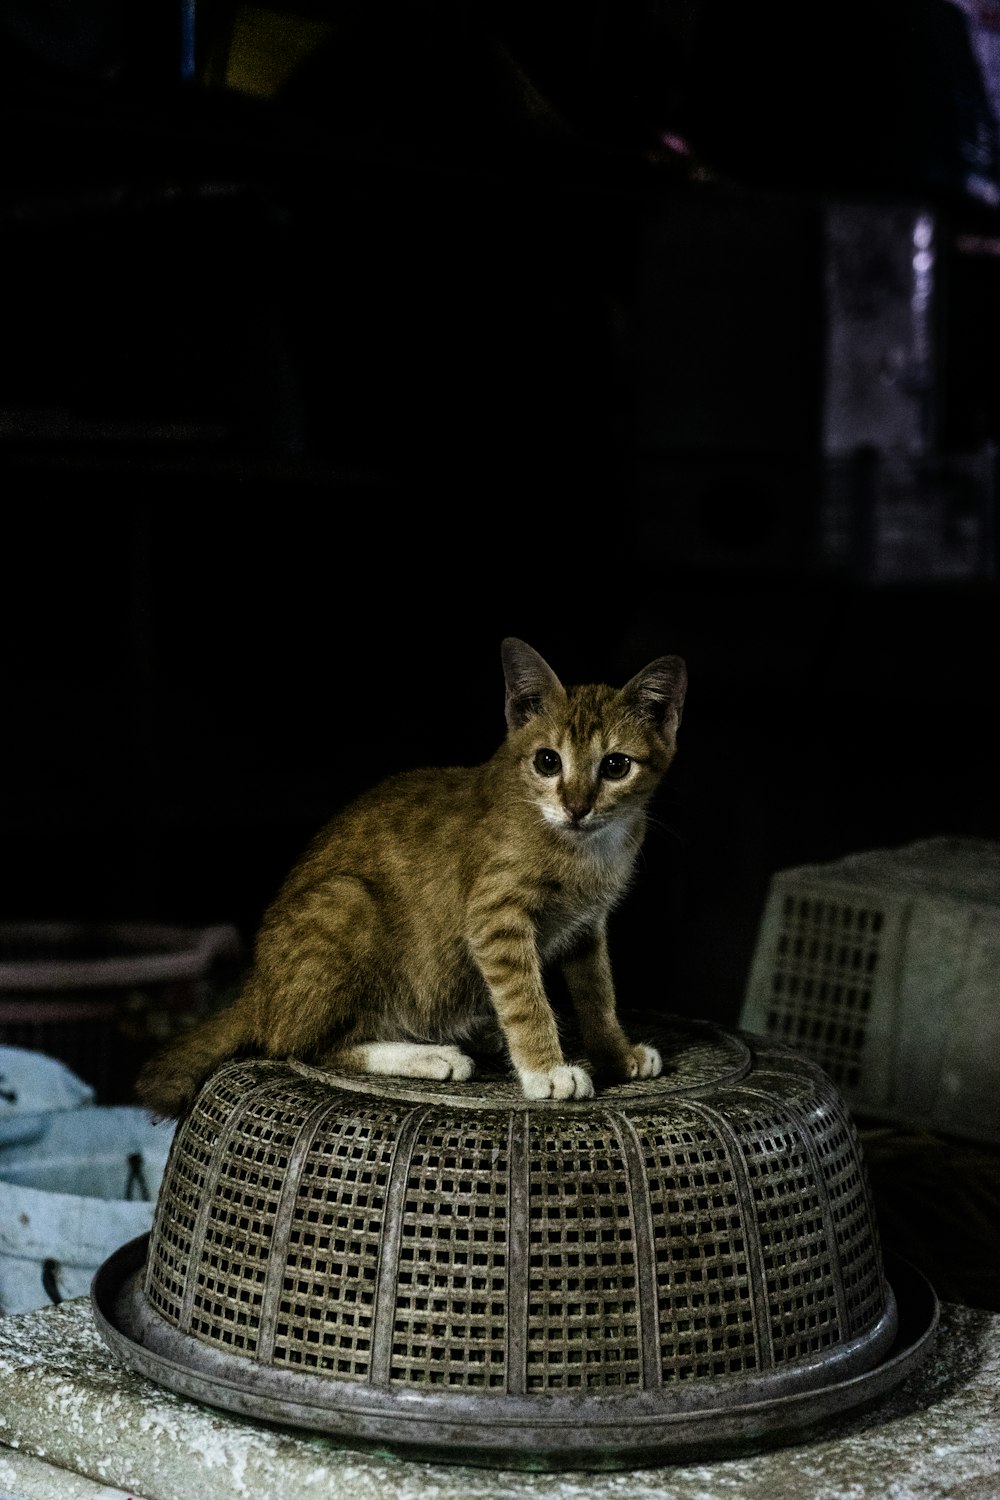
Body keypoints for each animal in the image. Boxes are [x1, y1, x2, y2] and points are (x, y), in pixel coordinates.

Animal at [137, 639, 689, 1122]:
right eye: (547, 761)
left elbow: (598, 993)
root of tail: (260, 989)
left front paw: (616, 1054)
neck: (584, 847)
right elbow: (524, 996)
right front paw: (545, 1071)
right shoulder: (494, 915)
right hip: (348, 902)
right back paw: (430, 1056)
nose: (577, 807)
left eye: (615, 765)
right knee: (298, 1045)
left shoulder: (586, 925)